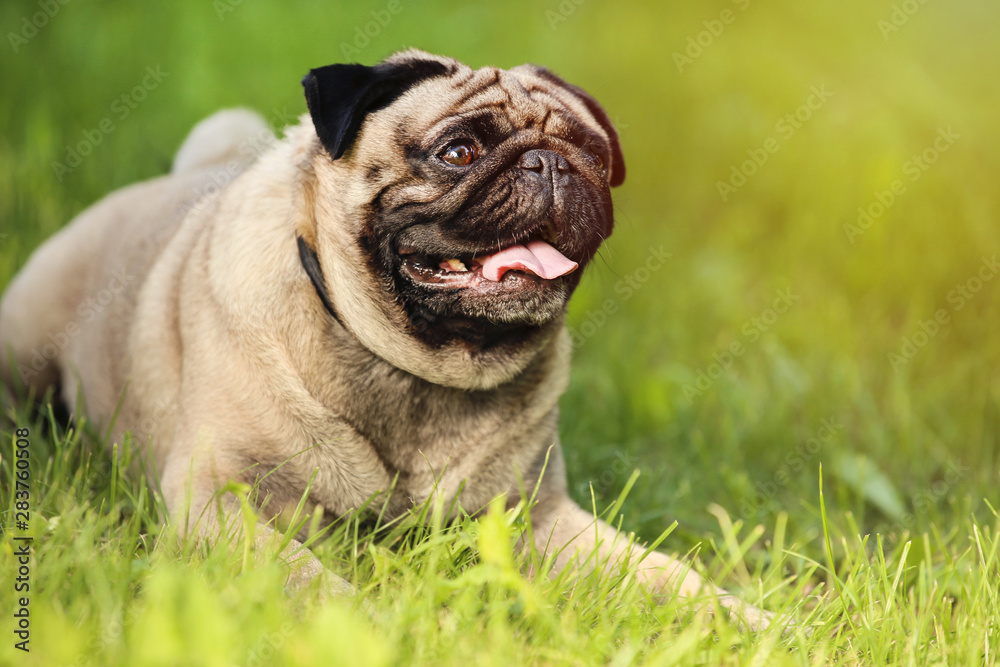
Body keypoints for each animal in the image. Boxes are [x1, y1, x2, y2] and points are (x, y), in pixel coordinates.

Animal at [0, 51, 768, 628]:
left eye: (587, 152)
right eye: (458, 151)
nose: (550, 164)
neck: (421, 367)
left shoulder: (540, 519)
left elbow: (664, 574)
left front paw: (751, 620)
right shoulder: (219, 500)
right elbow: (301, 574)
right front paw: (366, 624)